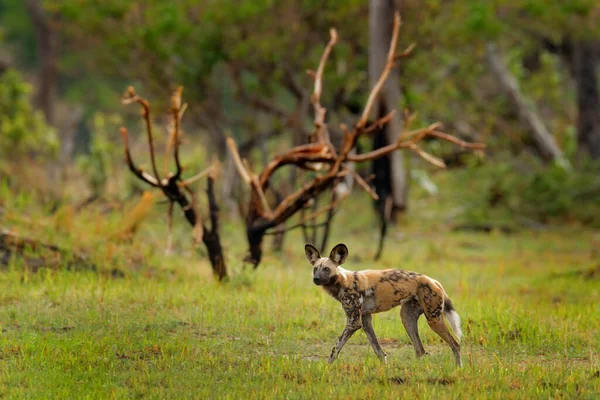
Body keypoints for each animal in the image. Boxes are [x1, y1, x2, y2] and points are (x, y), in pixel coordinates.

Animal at [304, 242, 464, 368]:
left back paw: (458, 369)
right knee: (420, 349)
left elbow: (335, 348)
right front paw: (384, 368)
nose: (316, 279)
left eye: (326, 269)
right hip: (407, 318)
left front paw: (327, 367)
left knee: (455, 345)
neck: (343, 281)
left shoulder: (354, 322)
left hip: (433, 319)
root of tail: (433, 281)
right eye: (315, 269)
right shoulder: (365, 319)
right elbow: (378, 350)